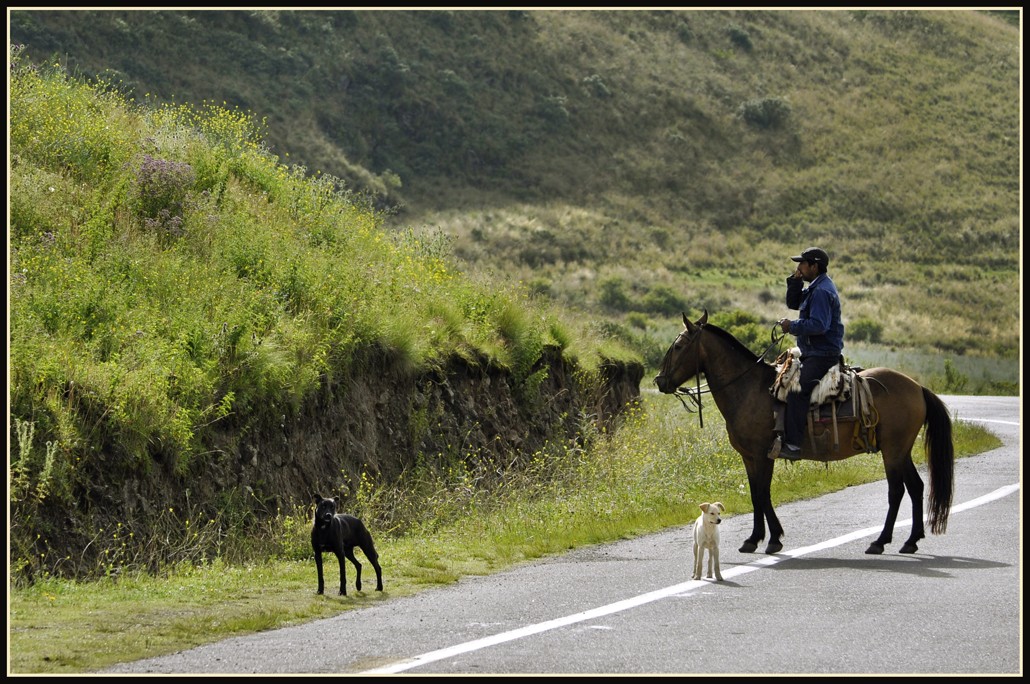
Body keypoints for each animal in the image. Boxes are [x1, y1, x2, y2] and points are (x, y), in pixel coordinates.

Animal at [655, 309, 951, 556]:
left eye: (679, 346)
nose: (659, 381)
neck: (749, 388)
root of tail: (917, 387)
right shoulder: (749, 457)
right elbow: (756, 495)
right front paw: (758, 538)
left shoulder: (762, 455)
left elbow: (762, 494)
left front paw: (769, 539)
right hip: (901, 450)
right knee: (916, 487)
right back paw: (910, 541)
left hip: (893, 450)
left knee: (896, 491)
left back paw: (879, 542)